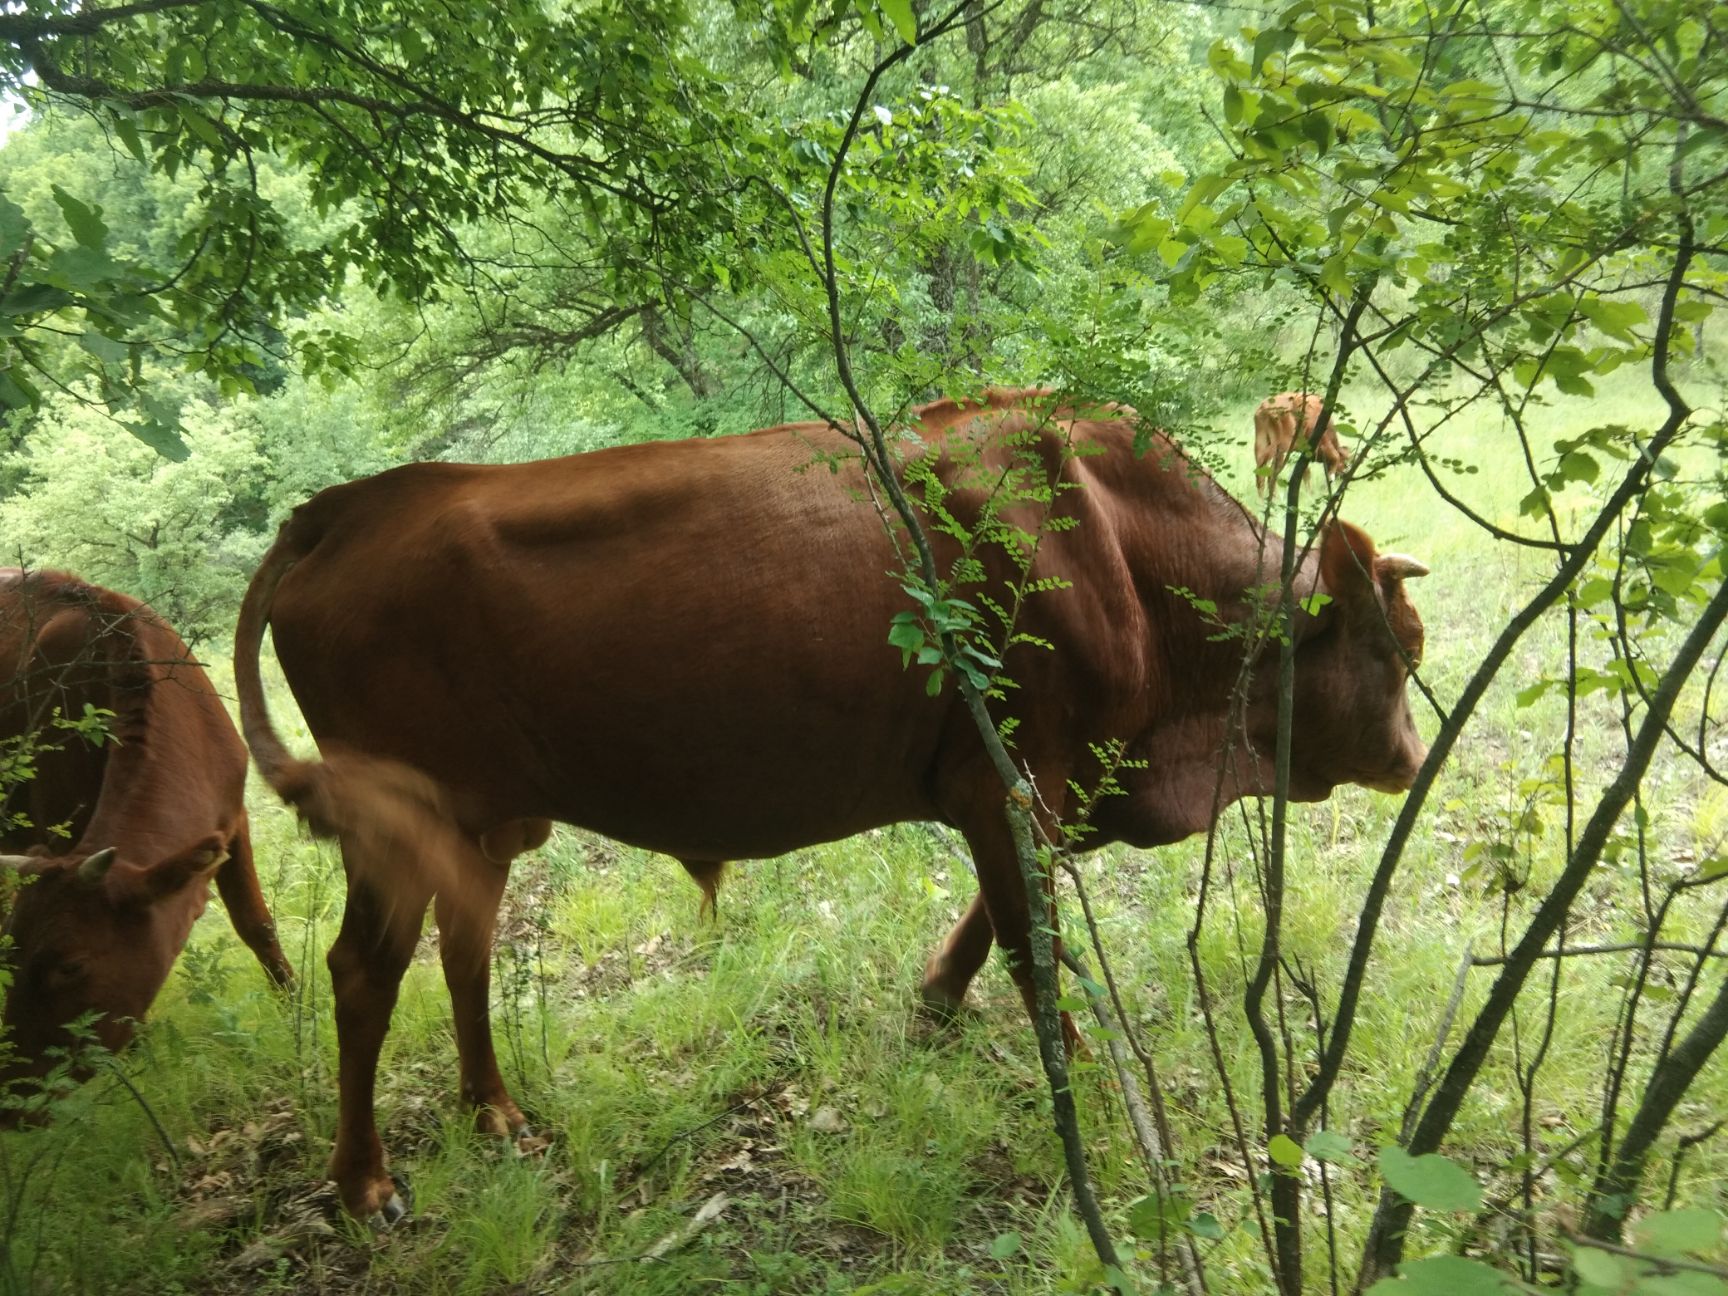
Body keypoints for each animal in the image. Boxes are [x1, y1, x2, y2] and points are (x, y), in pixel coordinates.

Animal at [0, 566, 293, 1099]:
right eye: (14, 960)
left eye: (71, 966)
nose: (14, 1090)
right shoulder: (60, 830)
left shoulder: (233, 818)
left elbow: (256, 924)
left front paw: (294, 1006)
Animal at [233, 390, 1430, 1223]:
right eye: (1399, 649)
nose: (1415, 760)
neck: (1120, 549)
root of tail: (338, 512)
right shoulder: (1010, 781)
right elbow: (1034, 943)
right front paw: (1087, 1080)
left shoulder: (1017, 794)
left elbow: (998, 919)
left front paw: (936, 999)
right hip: (396, 833)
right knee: (363, 973)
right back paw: (364, 1184)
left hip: (480, 831)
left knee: (463, 951)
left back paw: (495, 1109)